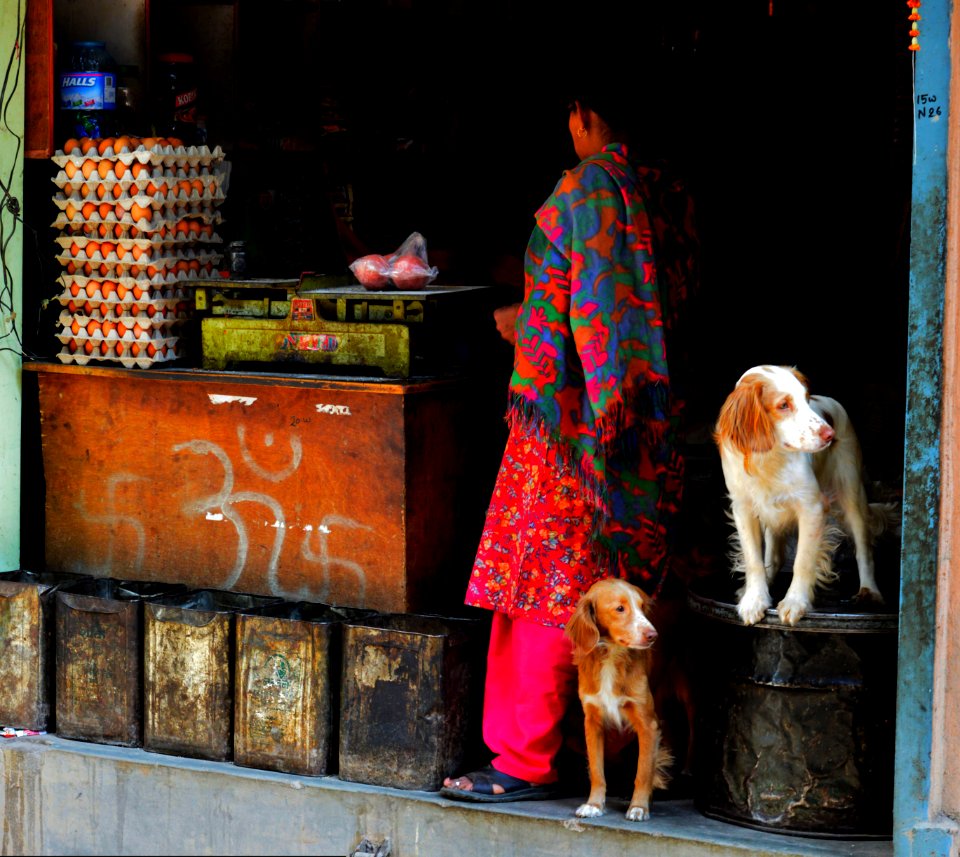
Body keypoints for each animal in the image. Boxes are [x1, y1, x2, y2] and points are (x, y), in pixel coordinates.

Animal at [568, 580, 672, 820]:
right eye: (620, 608)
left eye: (642, 608)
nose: (653, 635)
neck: (612, 655)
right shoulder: (592, 721)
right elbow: (597, 770)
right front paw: (594, 805)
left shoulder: (648, 724)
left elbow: (643, 771)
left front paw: (639, 807)